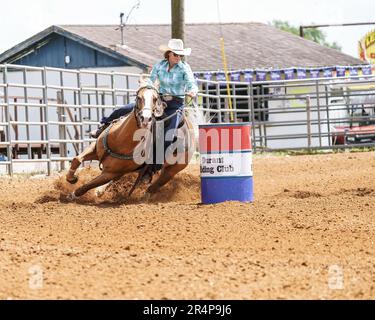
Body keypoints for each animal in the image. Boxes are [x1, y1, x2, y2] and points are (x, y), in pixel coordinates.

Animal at [66, 80, 197, 200]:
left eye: (155, 99)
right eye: (139, 97)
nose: (145, 119)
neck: (120, 139)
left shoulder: (110, 173)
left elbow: (88, 186)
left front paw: (73, 194)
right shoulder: (95, 149)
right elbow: (77, 159)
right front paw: (71, 178)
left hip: (172, 170)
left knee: (154, 187)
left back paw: (143, 197)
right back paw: (100, 191)